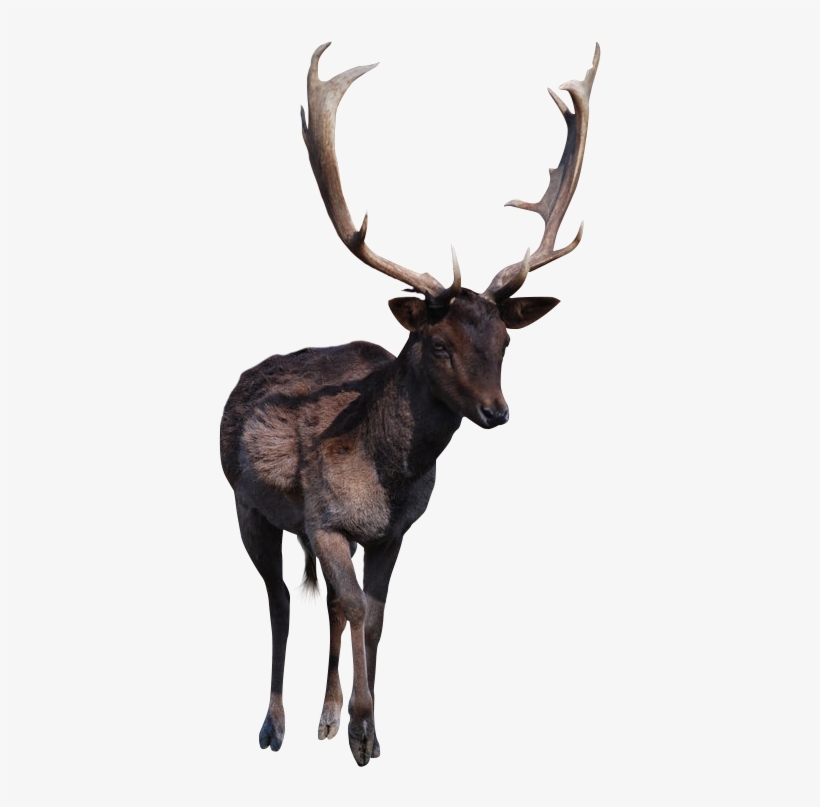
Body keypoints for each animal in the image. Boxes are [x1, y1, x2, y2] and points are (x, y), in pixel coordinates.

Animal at [220, 42, 599, 767]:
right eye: (438, 343)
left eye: (506, 339)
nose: (497, 411)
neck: (386, 475)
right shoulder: (324, 519)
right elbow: (350, 608)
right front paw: (362, 731)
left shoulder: (392, 533)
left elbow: (373, 614)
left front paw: (363, 727)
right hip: (247, 505)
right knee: (279, 599)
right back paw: (273, 725)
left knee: (325, 605)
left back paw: (324, 715)